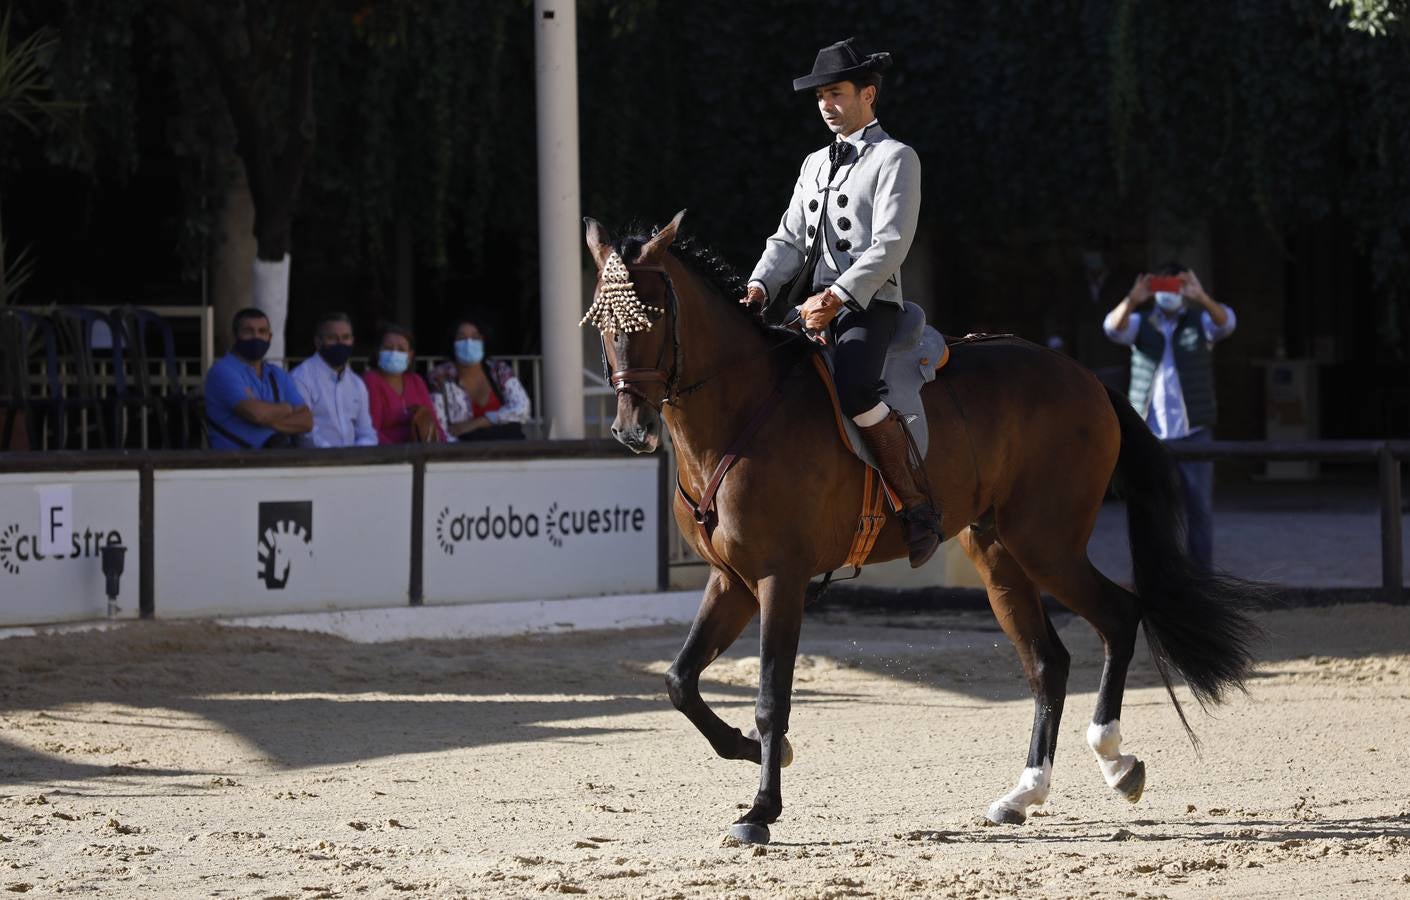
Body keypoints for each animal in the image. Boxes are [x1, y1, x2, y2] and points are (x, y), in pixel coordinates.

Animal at [578, 211, 1263, 846]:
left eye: (653, 315)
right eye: (605, 323)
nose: (632, 430)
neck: (741, 409)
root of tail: (1082, 376)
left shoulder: (779, 580)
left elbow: (772, 696)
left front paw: (761, 811)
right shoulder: (732, 581)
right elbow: (679, 682)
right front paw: (746, 752)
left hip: (1047, 544)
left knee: (1119, 616)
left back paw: (1115, 761)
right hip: (998, 554)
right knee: (1048, 662)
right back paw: (1023, 794)